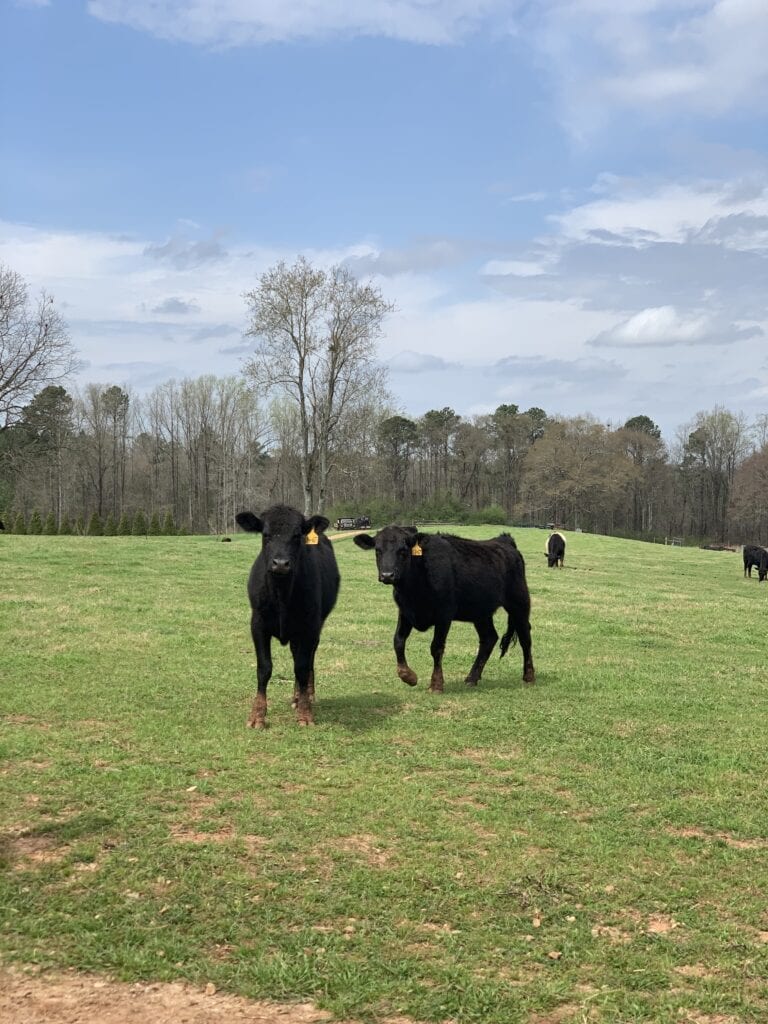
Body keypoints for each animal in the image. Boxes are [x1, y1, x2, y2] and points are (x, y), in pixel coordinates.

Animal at [237, 505, 339, 729]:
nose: (281, 563)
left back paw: (305, 695)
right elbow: (264, 668)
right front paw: (257, 715)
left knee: (307, 659)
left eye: (297, 536)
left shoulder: (309, 626)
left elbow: (301, 667)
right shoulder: (257, 624)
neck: (281, 595)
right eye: (265, 534)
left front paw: (305, 713)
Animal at [354, 528, 536, 688]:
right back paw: (472, 678)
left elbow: (436, 647)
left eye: (403, 551)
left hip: (519, 602)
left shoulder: (444, 614)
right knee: (489, 638)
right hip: (481, 612)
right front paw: (408, 676)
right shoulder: (405, 611)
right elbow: (398, 641)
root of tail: (504, 541)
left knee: (525, 637)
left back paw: (529, 677)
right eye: (378, 550)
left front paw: (436, 684)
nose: (387, 575)